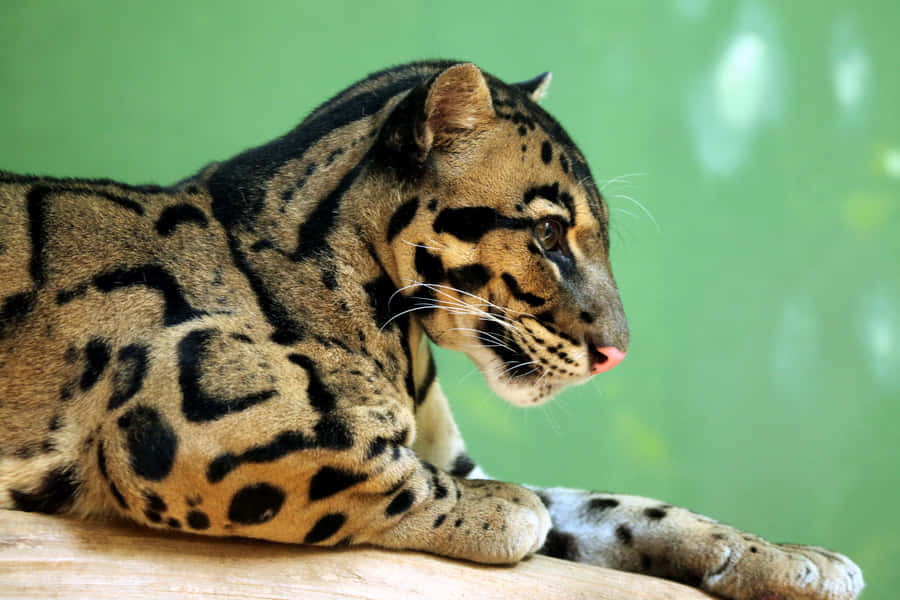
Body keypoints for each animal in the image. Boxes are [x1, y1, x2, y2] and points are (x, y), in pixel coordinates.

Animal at [0, 60, 863, 599]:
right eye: (548, 234)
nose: (616, 353)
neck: (405, 347)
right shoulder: (185, 417)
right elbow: (408, 476)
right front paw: (506, 512)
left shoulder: (455, 453)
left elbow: (617, 505)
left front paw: (786, 557)